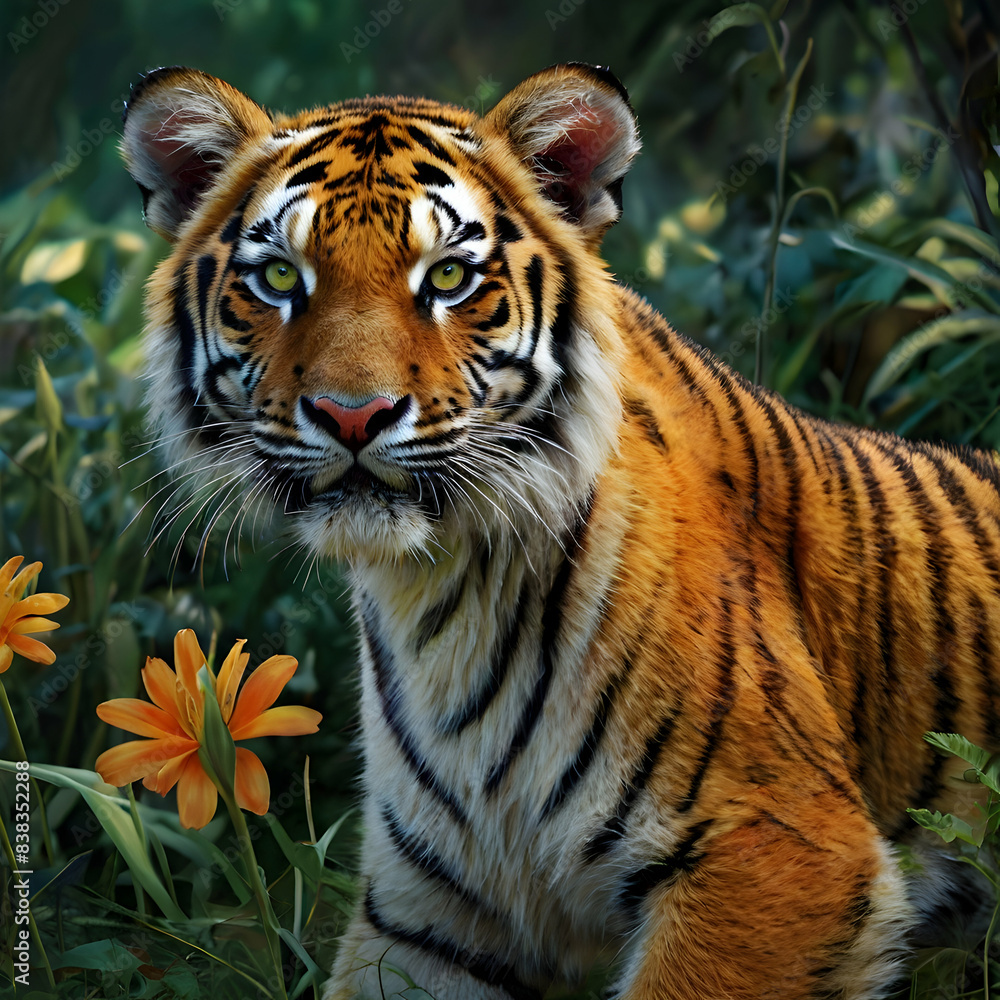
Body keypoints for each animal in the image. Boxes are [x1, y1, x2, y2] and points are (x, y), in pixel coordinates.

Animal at [121, 61, 1000, 999]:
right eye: (281, 279)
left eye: (448, 278)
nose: (352, 415)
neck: (436, 591)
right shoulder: (429, 913)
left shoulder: (780, 847)